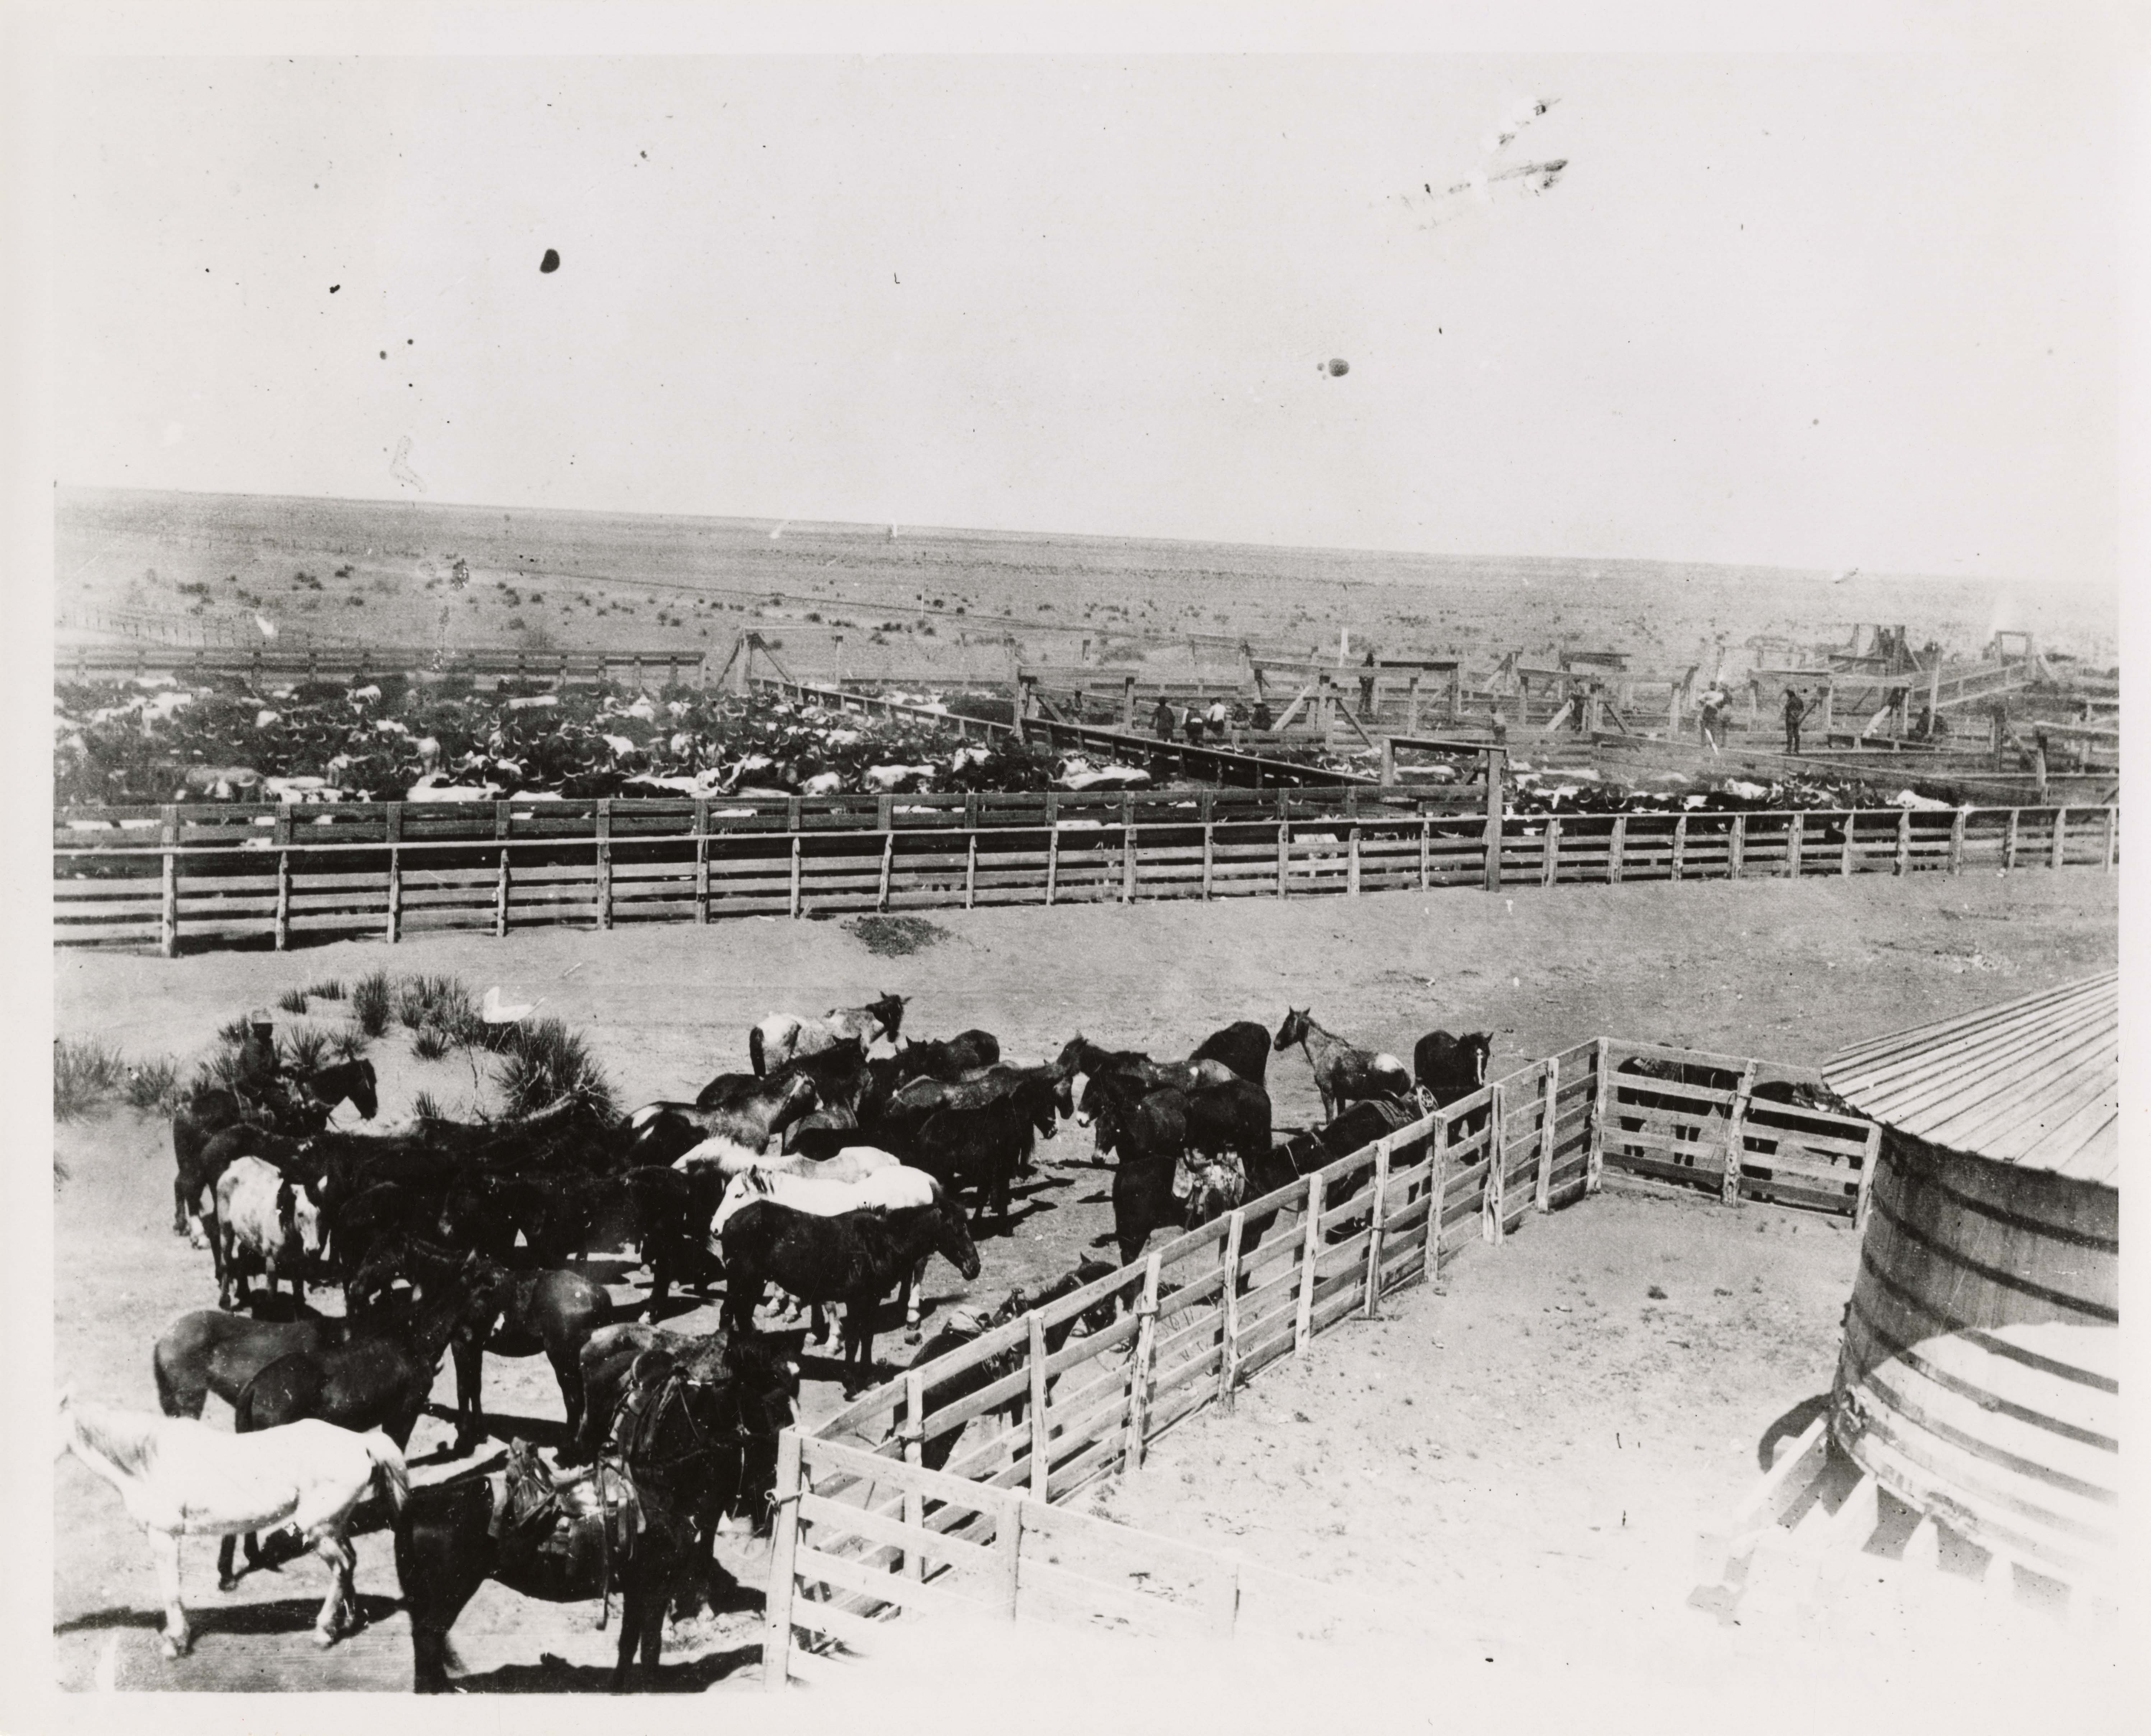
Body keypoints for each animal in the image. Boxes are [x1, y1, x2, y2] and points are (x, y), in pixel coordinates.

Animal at [53, 1394, 406, 1661]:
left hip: (317, 1527)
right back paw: (347, 1623)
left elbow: (171, 1591)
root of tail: (360, 1441)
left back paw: (323, 1632)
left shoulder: (163, 1537)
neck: (147, 1460)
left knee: (341, 1566)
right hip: (335, 1524)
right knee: (351, 1562)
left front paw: (175, 1644)